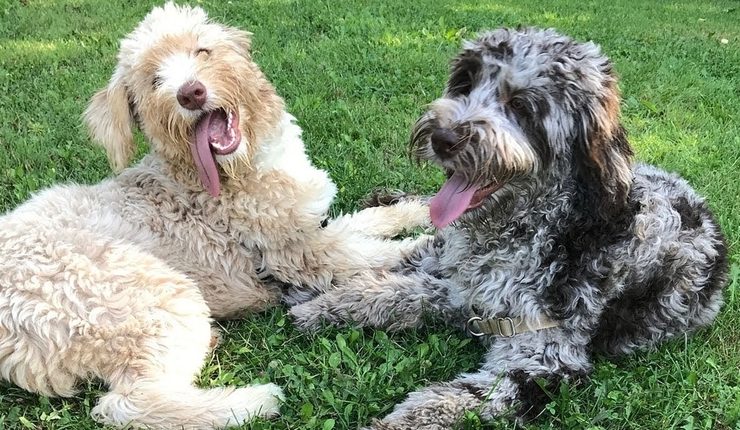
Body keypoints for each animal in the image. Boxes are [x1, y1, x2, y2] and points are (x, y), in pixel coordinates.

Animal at [0, 3, 428, 429]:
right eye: (155, 80)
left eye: (202, 51)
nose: (190, 93)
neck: (231, 173)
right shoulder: (302, 256)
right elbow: (375, 253)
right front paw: (423, 242)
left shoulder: (310, 227)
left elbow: (362, 222)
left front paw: (414, 210)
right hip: (155, 294)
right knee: (126, 404)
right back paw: (251, 401)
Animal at [290, 27, 729, 428]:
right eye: (465, 82)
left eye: (521, 106)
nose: (442, 138)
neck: (523, 231)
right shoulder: (461, 289)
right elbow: (386, 291)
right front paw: (321, 306)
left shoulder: (542, 362)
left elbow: (446, 396)